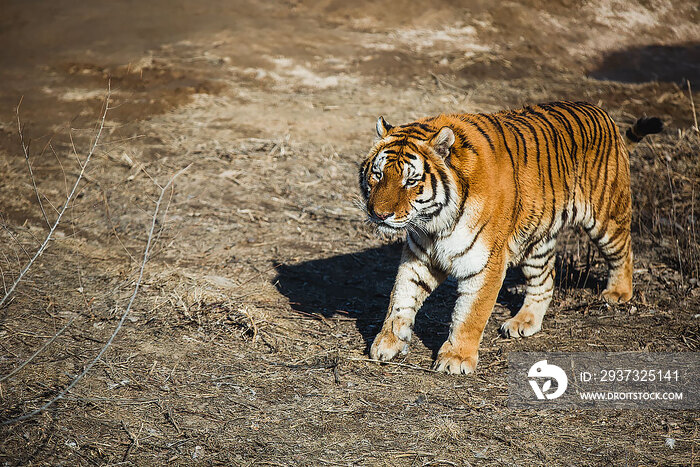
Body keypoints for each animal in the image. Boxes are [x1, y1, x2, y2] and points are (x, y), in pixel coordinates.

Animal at [360, 100, 660, 374]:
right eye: (377, 174)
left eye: (411, 181)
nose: (380, 214)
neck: (435, 223)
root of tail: (602, 113)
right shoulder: (419, 258)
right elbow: (400, 300)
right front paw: (387, 343)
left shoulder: (485, 263)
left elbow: (470, 314)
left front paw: (456, 358)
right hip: (536, 243)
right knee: (544, 280)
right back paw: (524, 322)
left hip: (605, 216)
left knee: (624, 251)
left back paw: (618, 293)